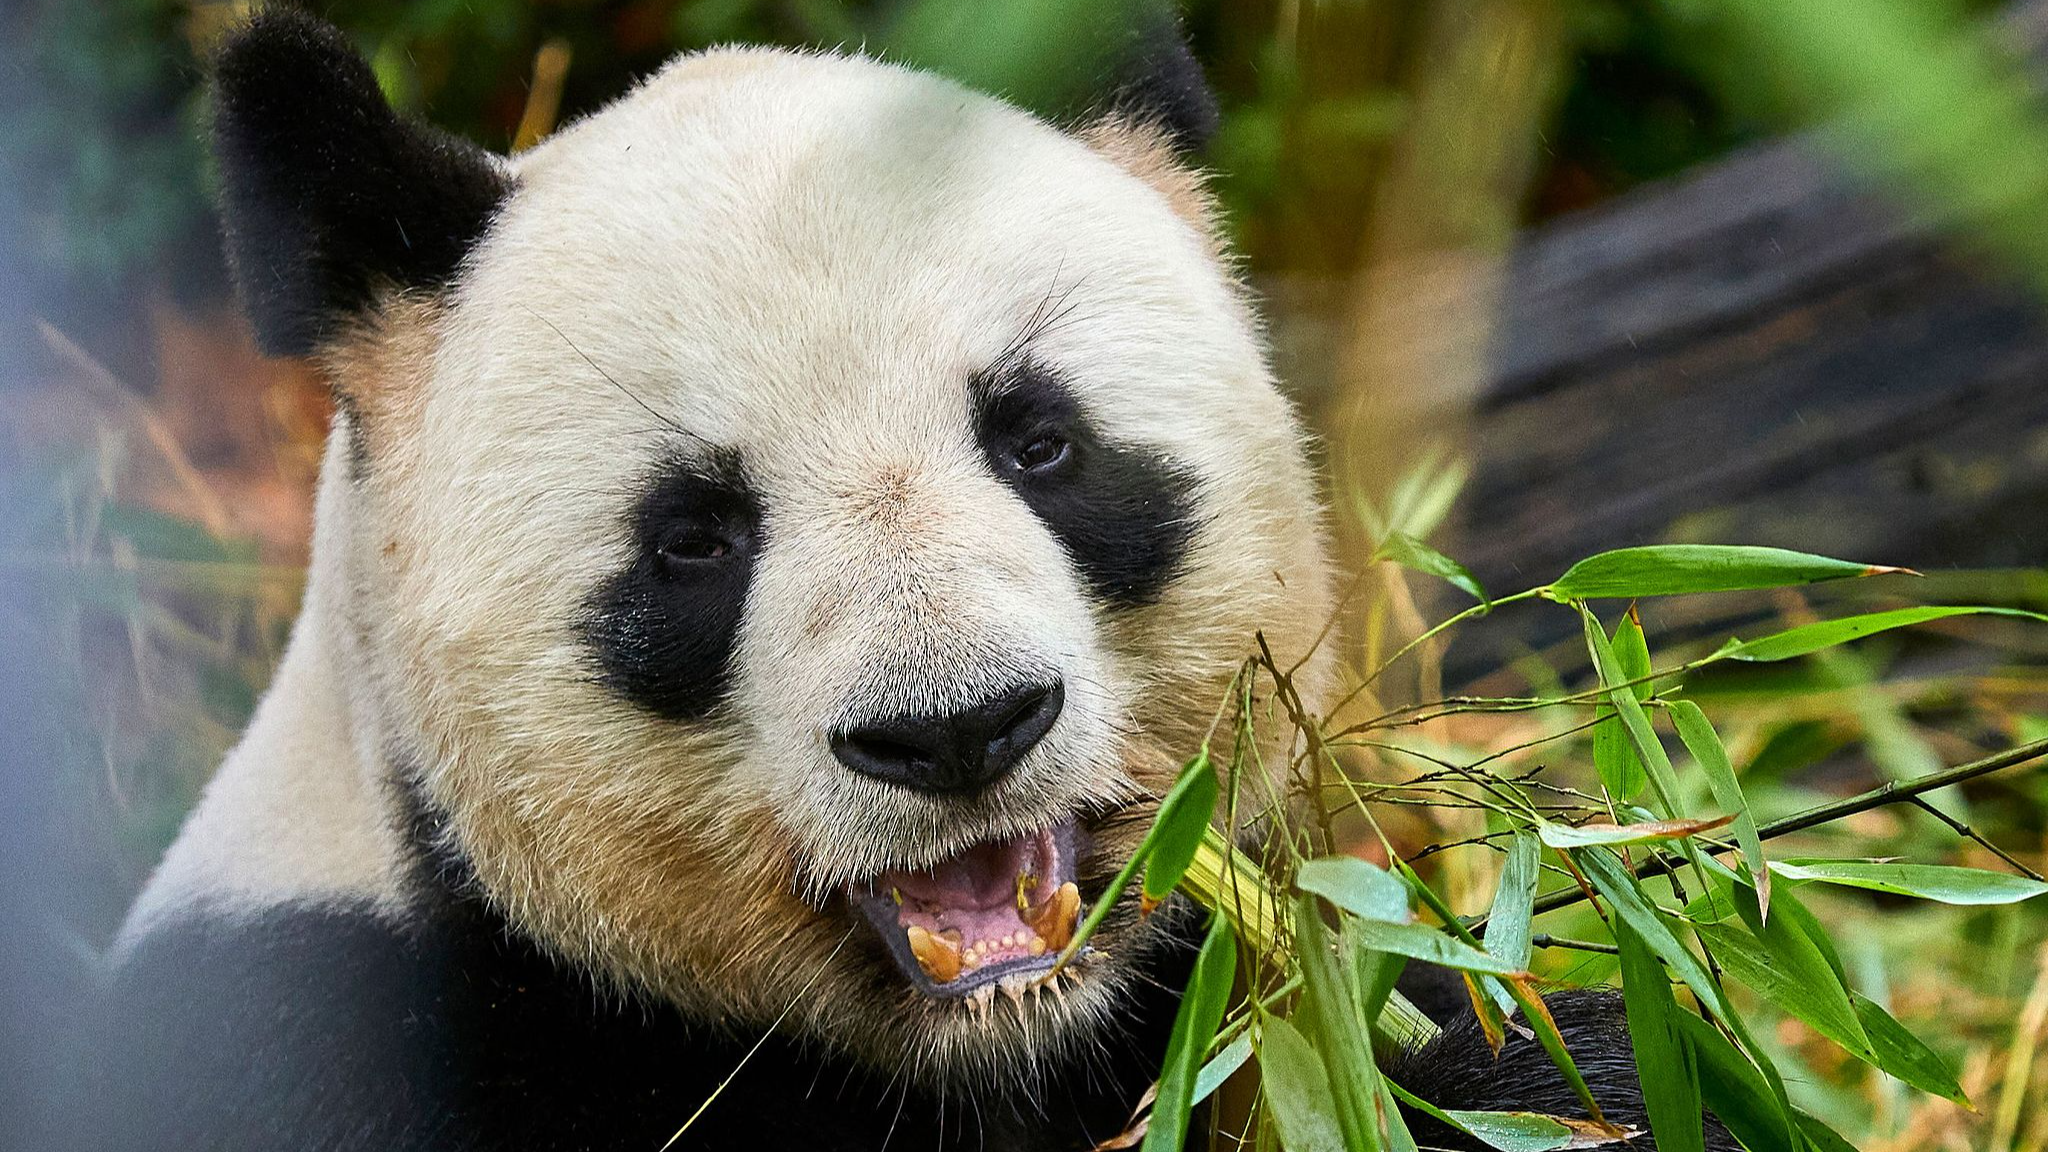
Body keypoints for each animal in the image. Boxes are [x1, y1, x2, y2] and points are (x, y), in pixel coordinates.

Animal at [80, 7, 1718, 1151]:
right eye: (695, 536)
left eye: (1039, 441)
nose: (955, 731)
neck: (986, 1050)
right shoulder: (336, 1037)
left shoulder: (1251, 1008)